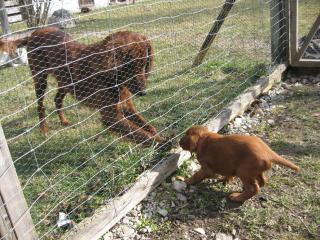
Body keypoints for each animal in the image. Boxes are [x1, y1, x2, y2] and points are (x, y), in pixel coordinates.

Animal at [2, 26, 166, 146]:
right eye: (129, 66)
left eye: (144, 64)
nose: (143, 93)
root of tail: (33, 33)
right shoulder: (110, 116)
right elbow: (141, 134)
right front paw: (162, 143)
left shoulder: (125, 106)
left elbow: (148, 127)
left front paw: (160, 135)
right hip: (40, 80)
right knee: (40, 106)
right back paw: (44, 129)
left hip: (65, 82)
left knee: (57, 99)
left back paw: (64, 121)